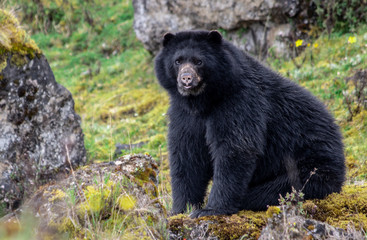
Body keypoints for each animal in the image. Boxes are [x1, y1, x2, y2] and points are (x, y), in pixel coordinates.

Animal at [154, 29, 346, 218]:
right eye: (177, 61)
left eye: (199, 61)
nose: (186, 79)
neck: (202, 101)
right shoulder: (184, 115)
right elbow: (187, 156)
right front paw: (180, 209)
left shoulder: (241, 102)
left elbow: (236, 148)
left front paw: (209, 210)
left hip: (311, 168)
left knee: (278, 189)